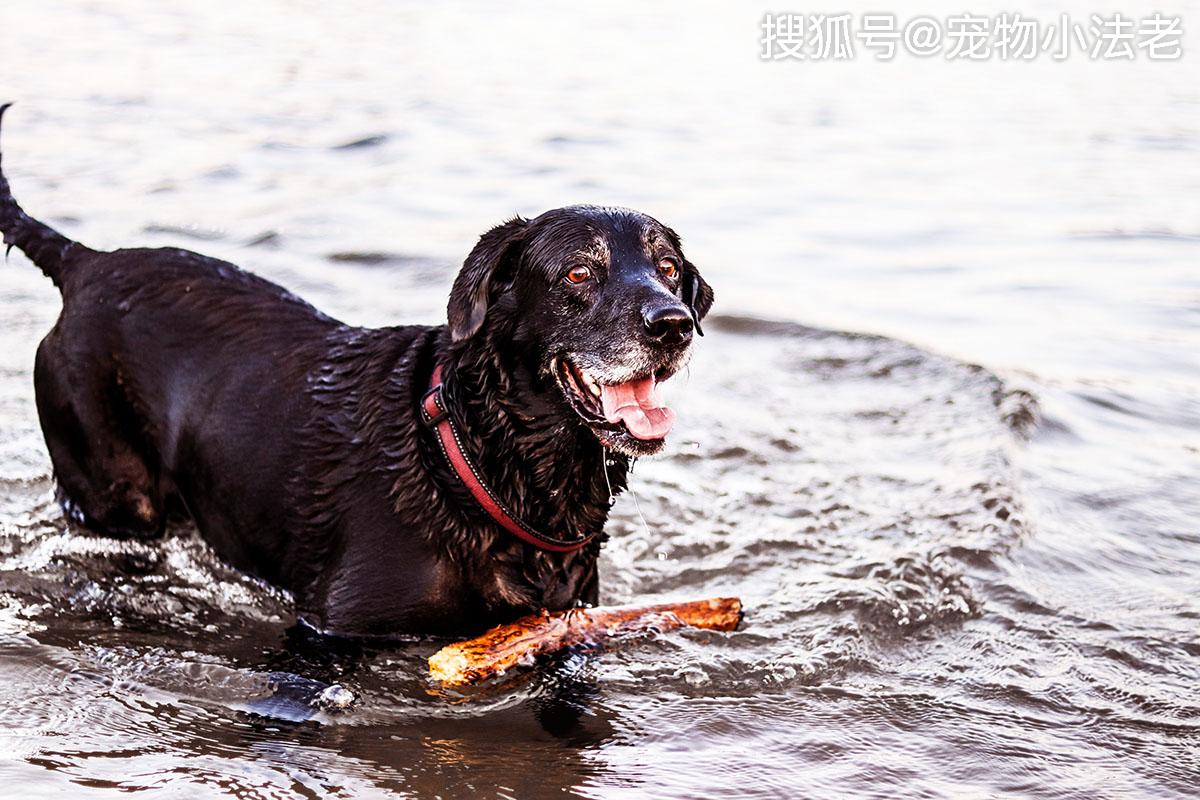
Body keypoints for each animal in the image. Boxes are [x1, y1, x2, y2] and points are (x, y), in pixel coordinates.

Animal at [0, 107, 710, 638]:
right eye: (579, 273)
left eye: (669, 269)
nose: (673, 325)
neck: (476, 457)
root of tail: (85, 263)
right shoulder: (332, 629)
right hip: (111, 490)